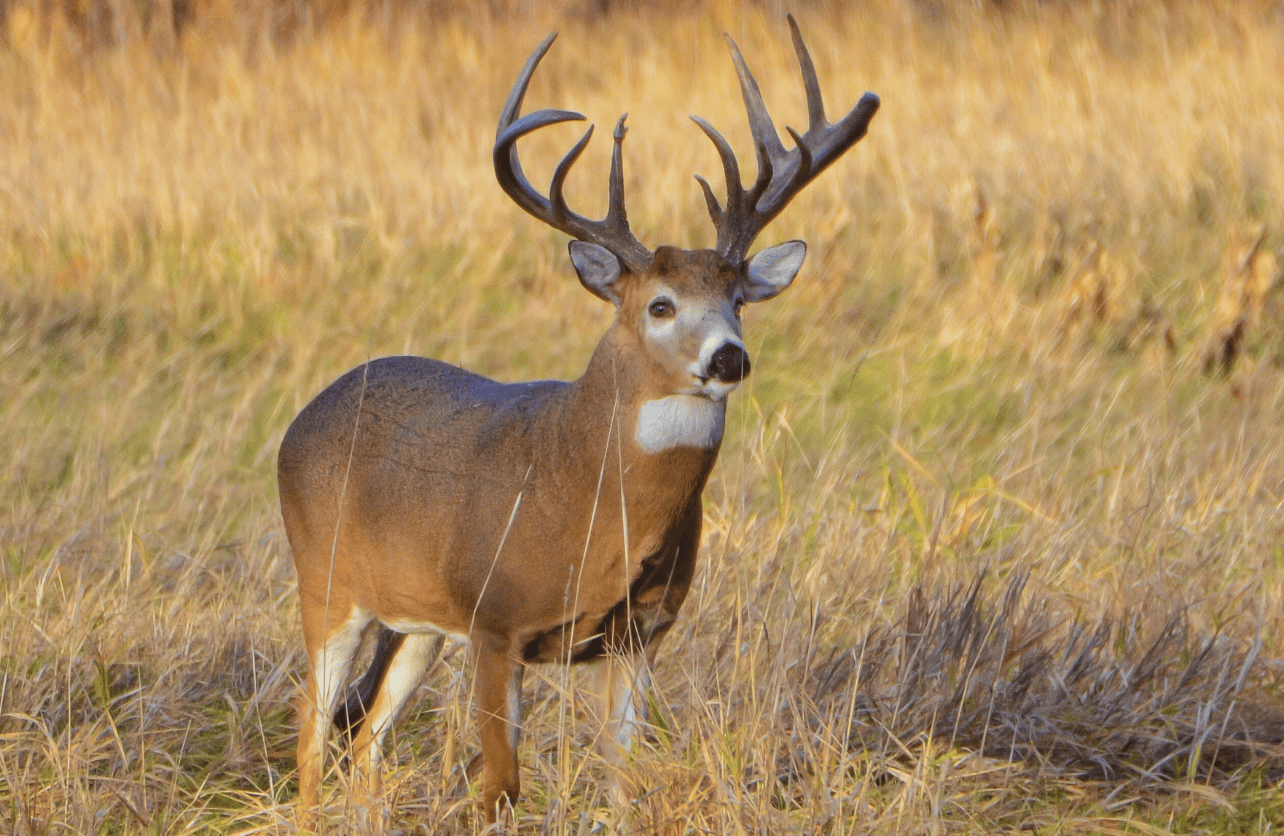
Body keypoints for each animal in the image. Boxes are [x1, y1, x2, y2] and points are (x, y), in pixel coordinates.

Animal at [278, 14, 883, 832]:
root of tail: (303, 416)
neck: (591, 498)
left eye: (739, 300)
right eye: (659, 304)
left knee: (365, 741)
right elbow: (501, 787)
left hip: (416, 624)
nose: (728, 357)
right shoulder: (495, 621)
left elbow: (626, 781)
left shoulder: (638, 636)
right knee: (312, 735)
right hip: (328, 581)